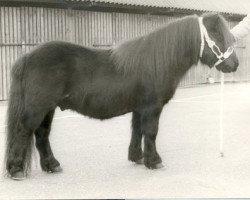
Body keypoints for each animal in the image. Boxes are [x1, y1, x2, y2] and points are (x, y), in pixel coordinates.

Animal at [4, 12, 238, 180]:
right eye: (217, 36)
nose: (234, 65)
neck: (156, 61)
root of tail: (26, 57)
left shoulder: (140, 108)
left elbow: (137, 130)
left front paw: (137, 157)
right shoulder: (152, 107)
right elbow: (151, 132)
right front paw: (154, 161)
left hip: (48, 108)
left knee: (42, 135)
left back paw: (52, 165)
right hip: (38, 108)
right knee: (23, 131)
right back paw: (16, 170)